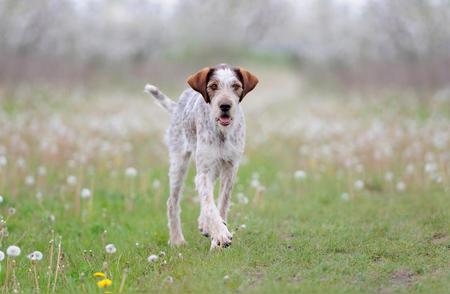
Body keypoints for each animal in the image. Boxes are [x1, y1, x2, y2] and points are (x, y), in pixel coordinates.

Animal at [146, 63, 258, 248]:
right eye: (213, 86)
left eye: (235, 86)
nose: (225, 106)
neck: (221, 132)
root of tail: (179, 104)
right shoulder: (204, 170)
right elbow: (209, 204)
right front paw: (220, 234)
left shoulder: (230, 169)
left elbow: (221, 204)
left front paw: (216, 239)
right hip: (179, 164)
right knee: (172, 203)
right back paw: (177, 240)